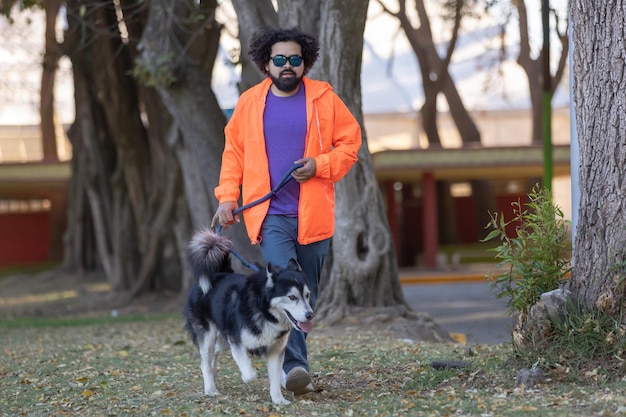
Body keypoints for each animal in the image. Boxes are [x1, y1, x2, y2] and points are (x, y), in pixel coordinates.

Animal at [183, 228, 314, 404]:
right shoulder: (236, 341)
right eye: (292, 297)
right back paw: (210, 388)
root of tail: (218, 274)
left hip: (223, 338)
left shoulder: (276, 350)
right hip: (208, 335)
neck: (265, 312)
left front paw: (278, 400)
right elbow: (250, 373)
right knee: (205, 362)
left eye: (307, 295)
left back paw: (213, 372)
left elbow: (275, 379)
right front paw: (245, 377)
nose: (310, 315)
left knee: (214, 353)